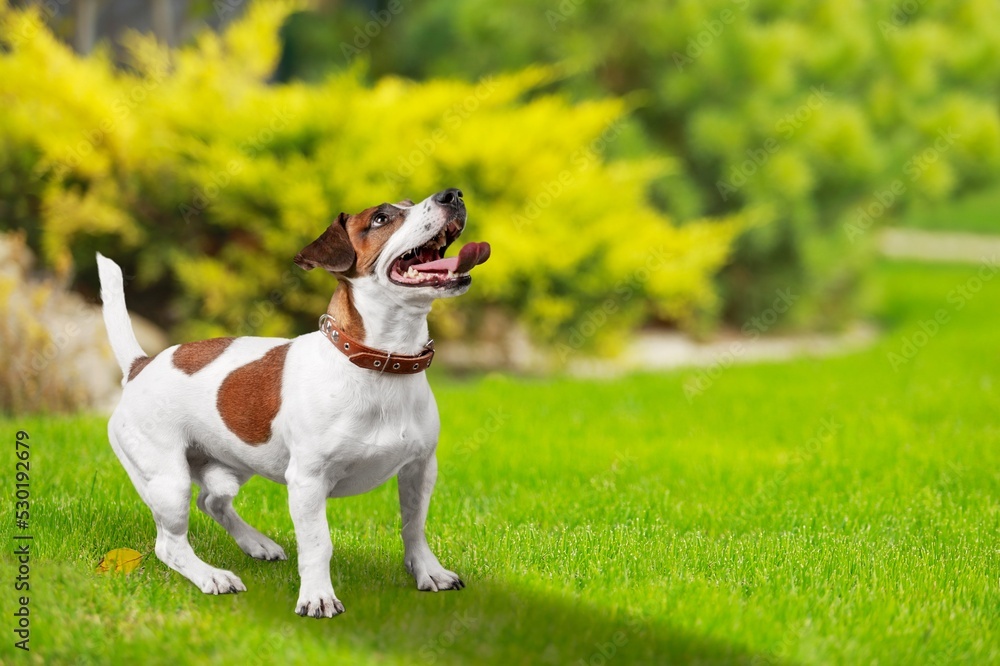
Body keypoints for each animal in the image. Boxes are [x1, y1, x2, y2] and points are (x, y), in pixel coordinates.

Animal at [97, 188, 492, 616]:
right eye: (381, 219)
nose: (452, 194)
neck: (380, 364)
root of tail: (140, 365)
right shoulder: (306, 482)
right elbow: (318, 544)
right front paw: (317, 596)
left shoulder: (420, 469)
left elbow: (414, 527)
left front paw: (427, 572)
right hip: (169, 481)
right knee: (170, 544)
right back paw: (211, 576)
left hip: (232, 464)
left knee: (212, 501)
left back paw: (256, 543)